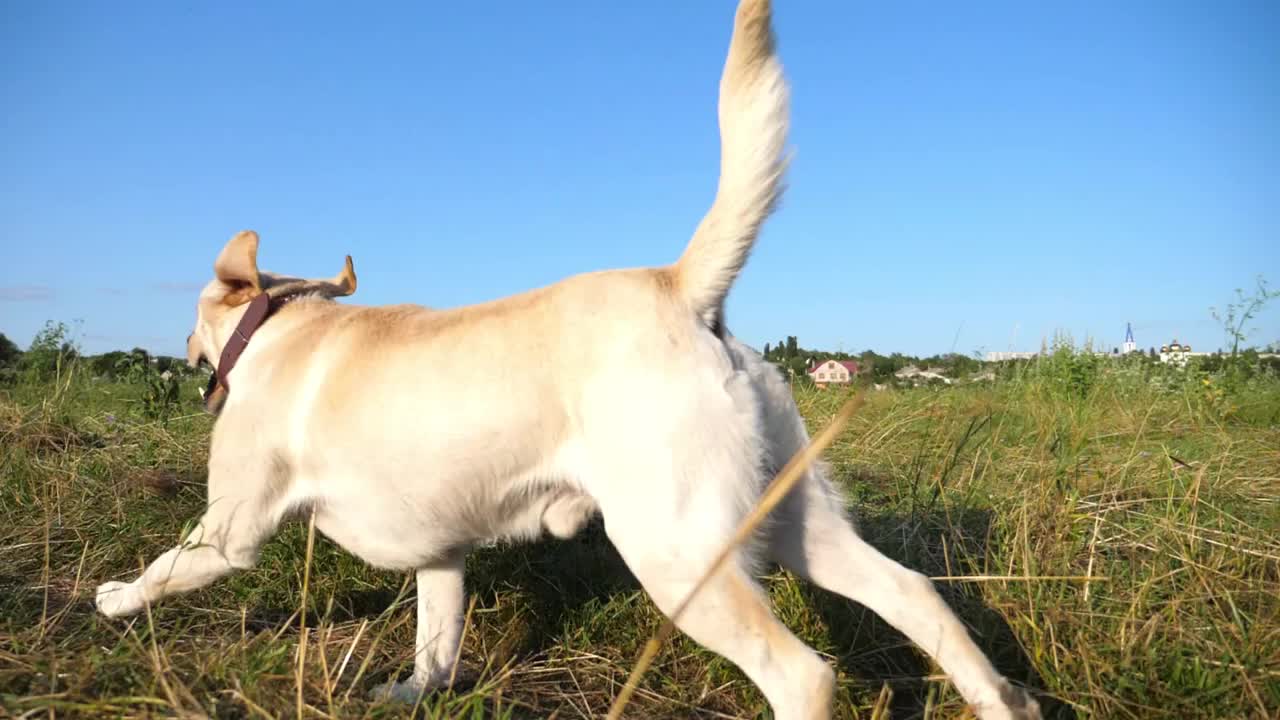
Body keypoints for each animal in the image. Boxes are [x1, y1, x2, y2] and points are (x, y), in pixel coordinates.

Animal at [97, 2, 1039, 712]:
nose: (185, 352)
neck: (280, 326)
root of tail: (679, 287)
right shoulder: (442, 557)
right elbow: (436, 643)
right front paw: (410, 694)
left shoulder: (230, 531)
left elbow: (167, 568)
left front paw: (114, 601)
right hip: (797, 521)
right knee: (916, 594)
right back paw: (1004, 702)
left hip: (677, 550)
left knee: (802, 674)